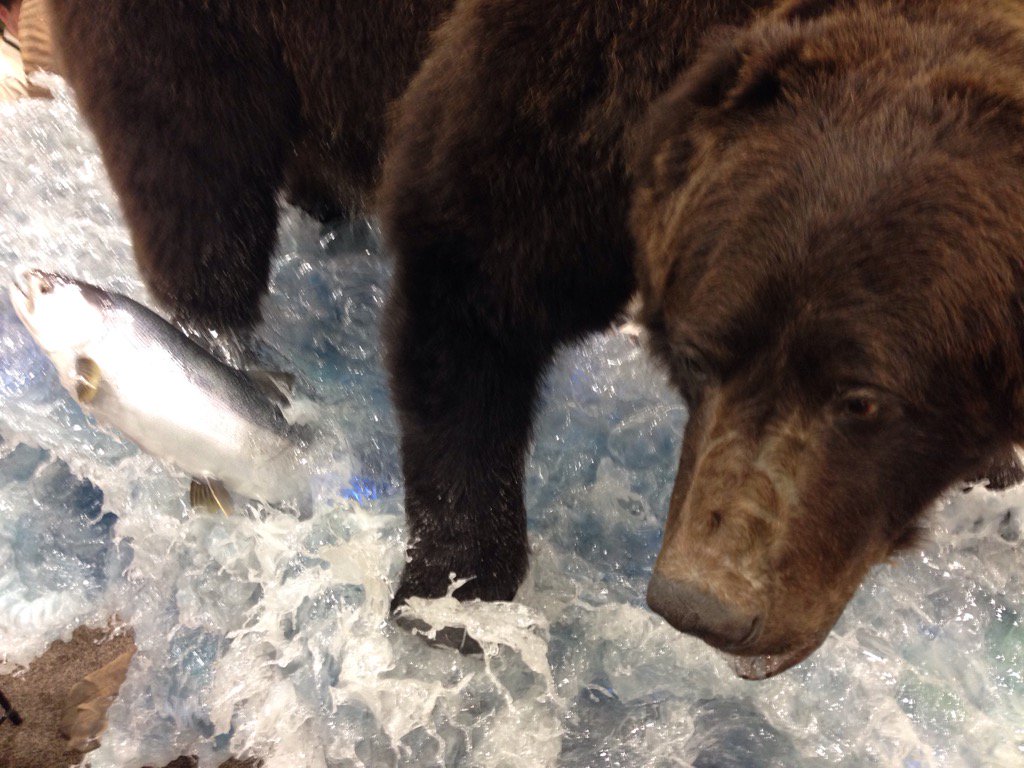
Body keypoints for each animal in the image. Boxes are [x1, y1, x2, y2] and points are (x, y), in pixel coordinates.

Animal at [380, 0, 1024, 676]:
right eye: (698, 358)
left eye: (861, 399)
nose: (700, 606)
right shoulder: (557, 105)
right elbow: (473, 300)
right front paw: (455, 603)